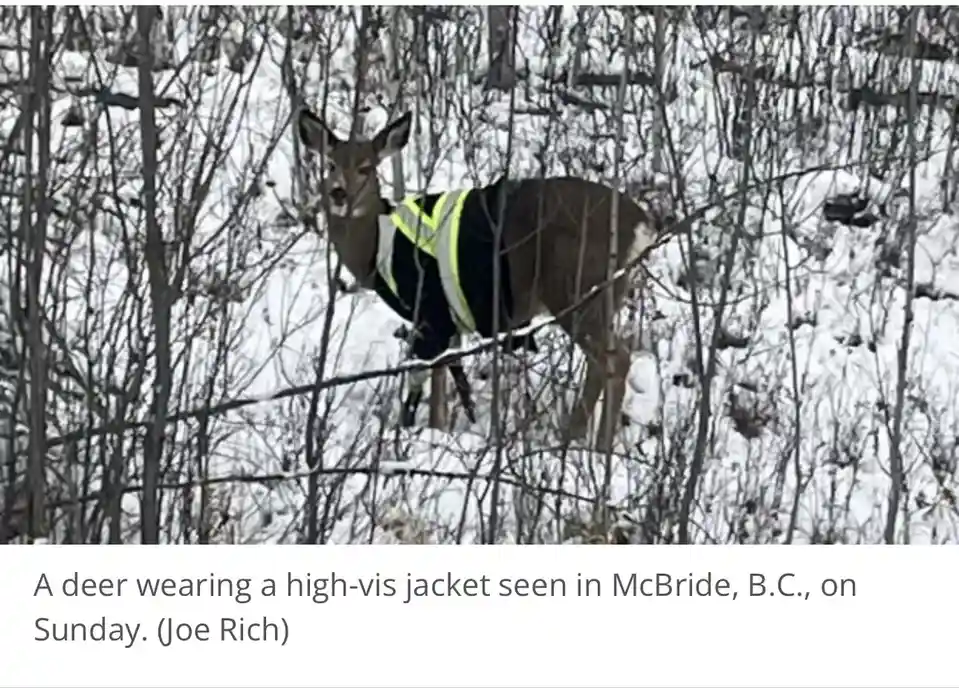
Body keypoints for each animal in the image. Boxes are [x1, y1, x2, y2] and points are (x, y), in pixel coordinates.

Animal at [297, 106, 664, 452]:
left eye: (366, 168)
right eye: (330, 164)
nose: (339, 193)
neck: (376, 247)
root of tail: (642, 225)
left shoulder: (429, 308)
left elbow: (434, 375)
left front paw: (431, 432)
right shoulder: (447, 318)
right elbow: (449, 375)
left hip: (576, 287)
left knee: (614, 358)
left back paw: (584, 444)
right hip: (602, 295)